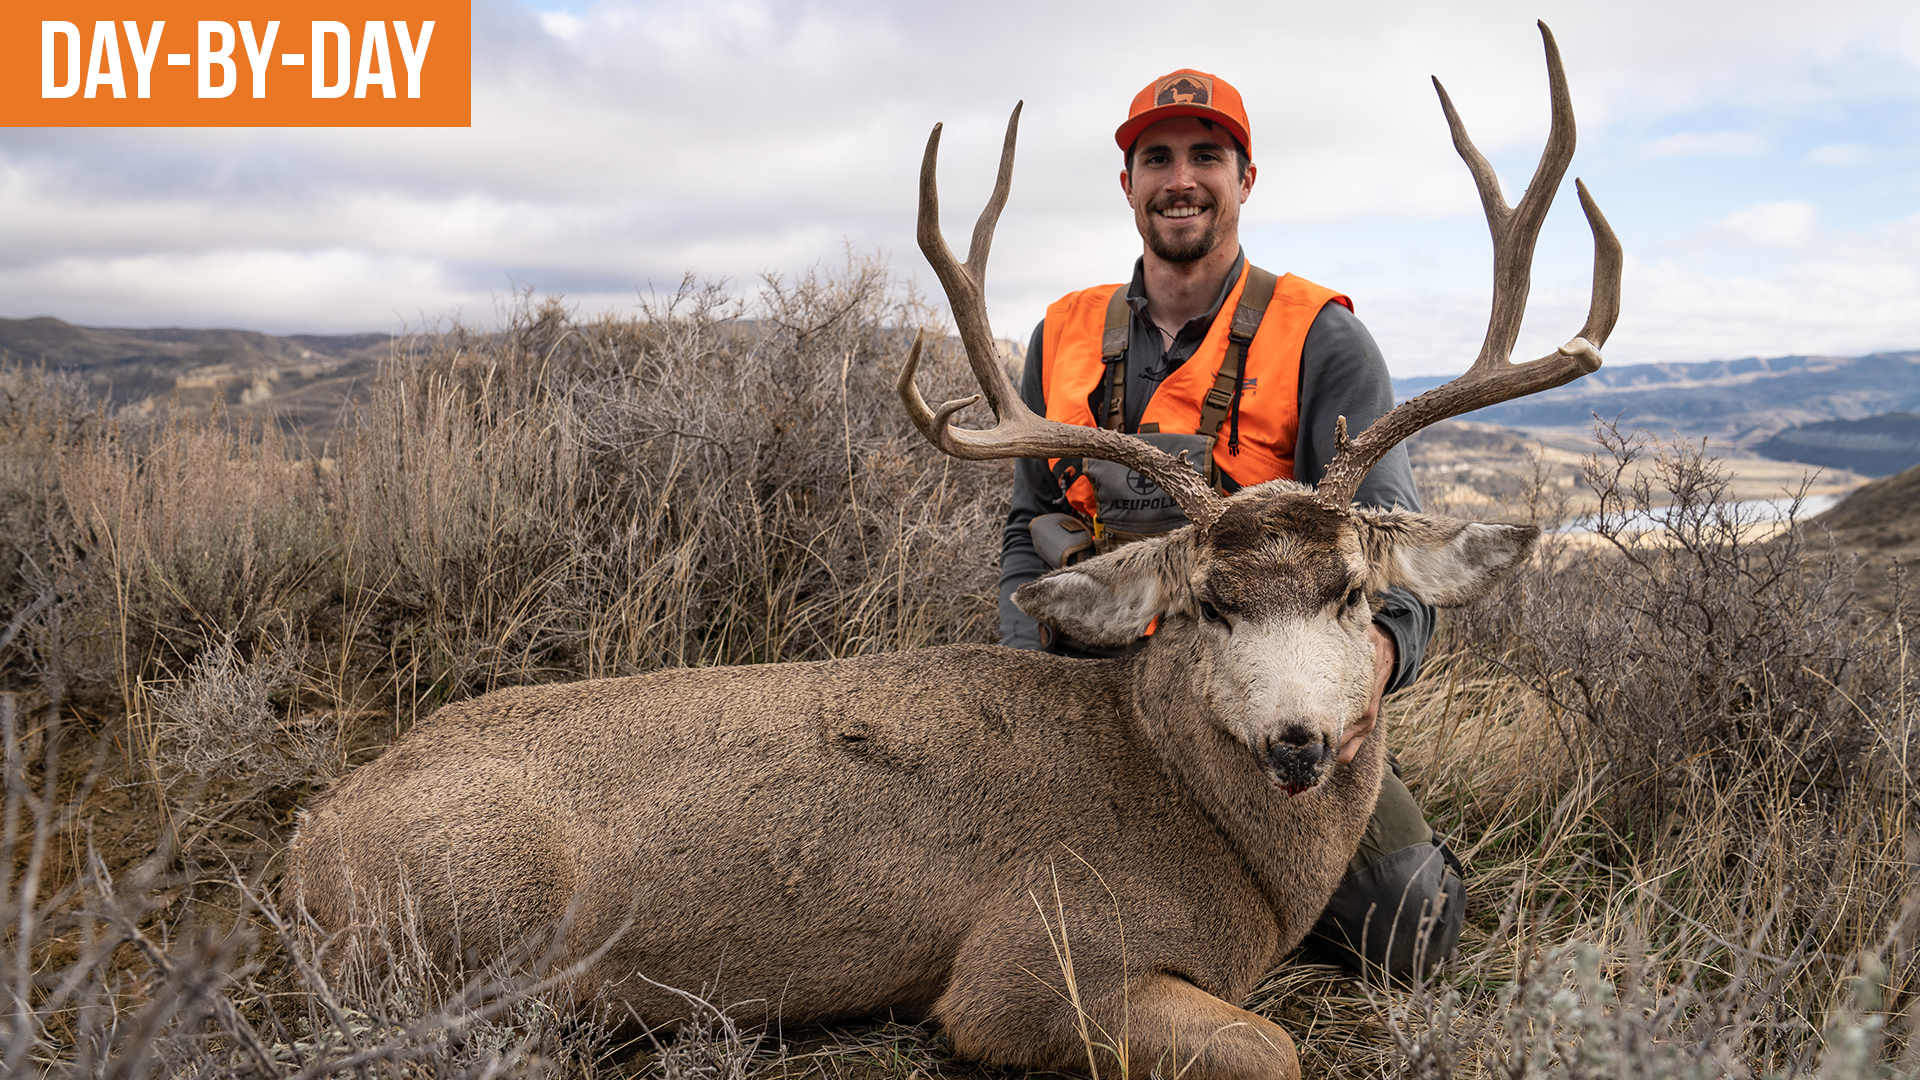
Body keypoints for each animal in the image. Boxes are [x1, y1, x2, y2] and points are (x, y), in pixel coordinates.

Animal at [286, 22, 1619, 1080]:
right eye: (1205, 606)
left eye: (1352, 593)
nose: (1296, 741)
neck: (1195, 818)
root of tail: (311, 845)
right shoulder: (1028, 963)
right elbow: (1271, 1046)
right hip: (471, 929)